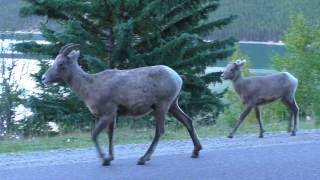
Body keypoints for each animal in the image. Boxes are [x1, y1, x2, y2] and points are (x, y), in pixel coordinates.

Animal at [41, 43, 201, 166]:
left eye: (61, 64)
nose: (43, 78)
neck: (91, 87)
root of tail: (177, 77)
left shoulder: (107, 114)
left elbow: (94, 135)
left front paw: (104, 159)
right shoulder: (113, 116)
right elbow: (110, 135)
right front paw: (110, 158)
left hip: (162, 106)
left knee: (159, 131)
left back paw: (143, 159)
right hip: (173, 105)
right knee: (187, 121)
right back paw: (196, 152)